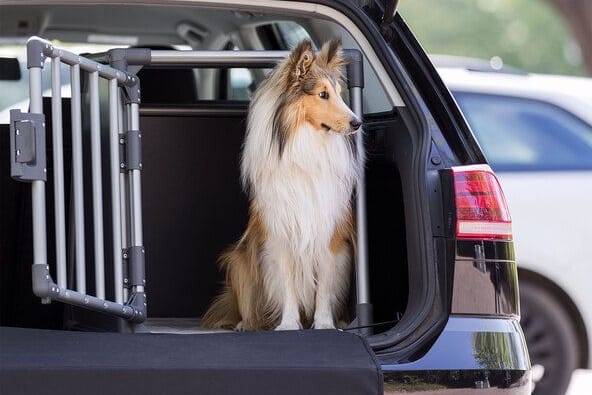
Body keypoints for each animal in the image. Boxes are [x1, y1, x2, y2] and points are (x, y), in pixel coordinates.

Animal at [202, 39, 360, 332]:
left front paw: (324, 324)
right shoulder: (280, 232)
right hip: (239, 260)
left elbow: (324, 287)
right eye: (322, 94)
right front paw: (288, 324)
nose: (358, 123)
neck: (305, 144)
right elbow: (287, 284)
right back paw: (247, 323)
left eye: (339, 93)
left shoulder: (329, 233)